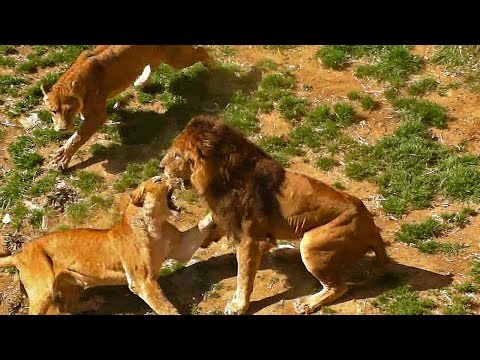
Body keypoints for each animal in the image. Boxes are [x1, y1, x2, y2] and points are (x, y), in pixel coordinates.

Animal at [0, 177, 215, 316]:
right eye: (158, 180)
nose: (179, 179)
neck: (156, 225)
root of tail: (19, 253)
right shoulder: (142, 281)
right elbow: (164, 306)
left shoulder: (181, 247)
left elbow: (201, 226)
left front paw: (217, 213)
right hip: (43, 290)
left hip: (72, 285)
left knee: (66, 308)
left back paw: (95, 303)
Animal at [42, 45, 211, 169]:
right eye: (53, 111)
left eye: (69, 110)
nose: (62, 129)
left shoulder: (97, 117)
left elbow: (78, 137)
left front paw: (63, 157)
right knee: (154, 64)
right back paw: (141, 81)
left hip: (176, 59)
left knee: (201, 51)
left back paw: (211, 65)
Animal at [159, 116, 388, 316]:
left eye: (177, 155)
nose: (160, 166)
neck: (222, 177)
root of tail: (372, 229)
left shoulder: (250, 239)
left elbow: (244, 276)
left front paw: (238, 306)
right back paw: (283, 252)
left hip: (313, 242)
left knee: (339, 286)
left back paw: (307, 303)